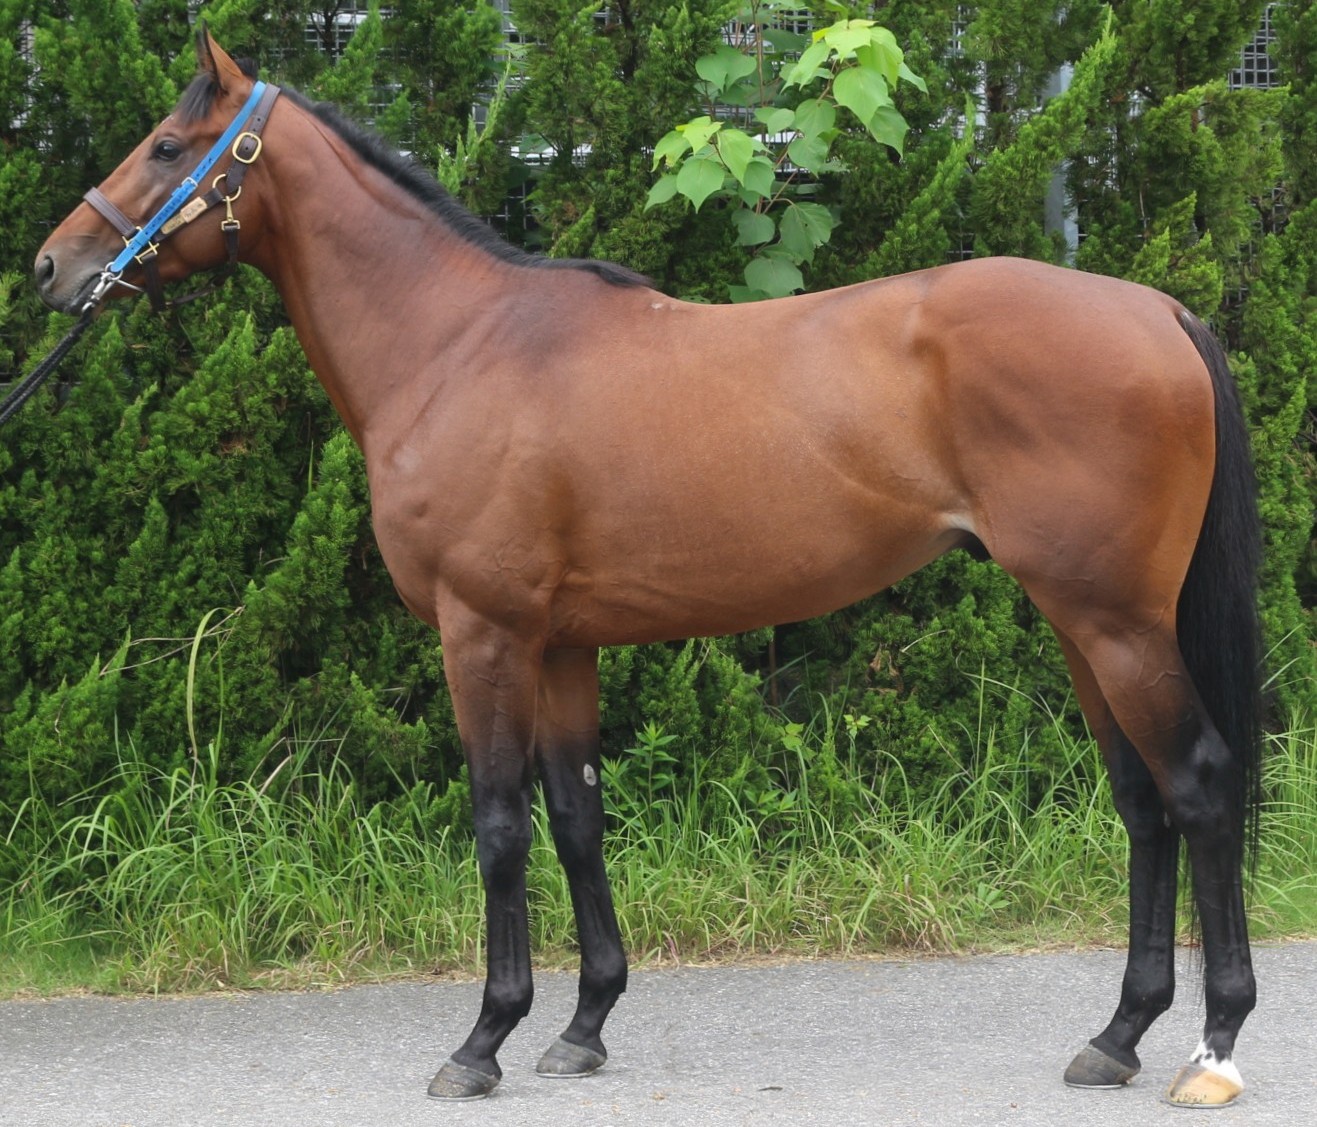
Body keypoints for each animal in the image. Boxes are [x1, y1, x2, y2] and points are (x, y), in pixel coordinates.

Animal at [34, 32, 1263, 1108]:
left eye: (163, 145)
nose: (54, 265)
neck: (456, 344)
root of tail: (1156, 307)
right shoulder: (561, 644)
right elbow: (578, 817)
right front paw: (581, 1026)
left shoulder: (482, 632)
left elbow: (499, 825)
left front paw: (481, 1041)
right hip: (1082, 621)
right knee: (1142, 802)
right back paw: (1116, 1035)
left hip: (1114, 622)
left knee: (1199, 785)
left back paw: (1212, 1045)